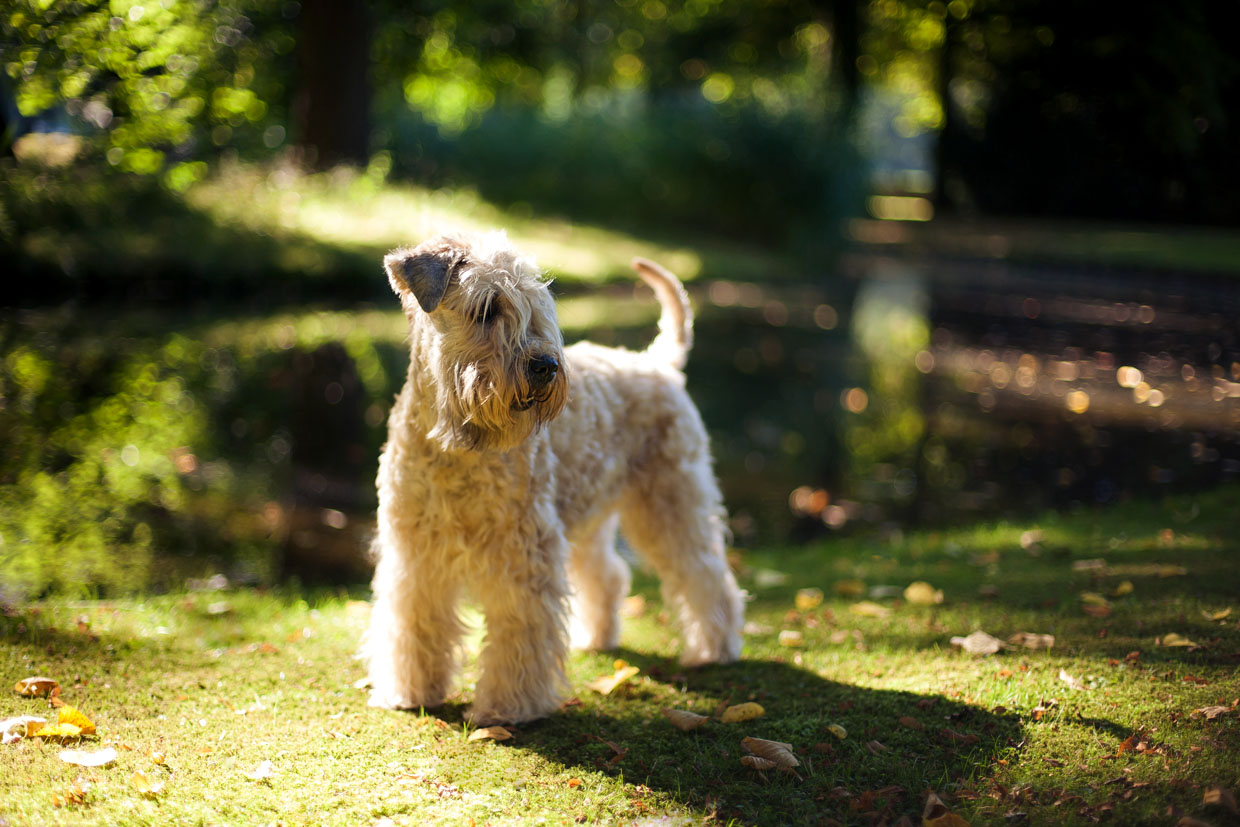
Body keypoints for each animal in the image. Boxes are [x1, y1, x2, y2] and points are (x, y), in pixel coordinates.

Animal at [362, 231, 739, 724]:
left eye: (538, 305)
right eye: (485, 308)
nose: (545, 366)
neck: (455, 445)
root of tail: (658, 364)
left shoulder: (523, 550)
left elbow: (519, 630)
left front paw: (509, 707)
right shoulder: (416, 553)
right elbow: (414, 620)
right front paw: (413, 689)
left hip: (673, 504)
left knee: (706, 572)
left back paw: (715, 648)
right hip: (591, 517)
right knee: (609, 574)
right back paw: (596, 637)